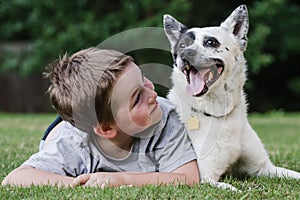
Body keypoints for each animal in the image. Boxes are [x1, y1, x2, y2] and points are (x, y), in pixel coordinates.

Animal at [164, 4, 300, 189]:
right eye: (182, 45)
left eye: (210, 42)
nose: (185, 54)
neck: (220, 114)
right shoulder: (204, 178)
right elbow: (231, 188)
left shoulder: (264, 167)